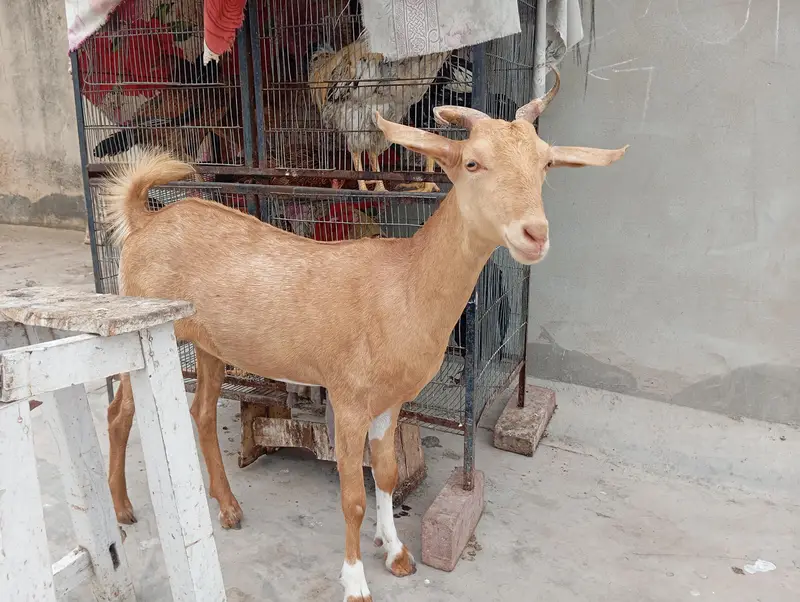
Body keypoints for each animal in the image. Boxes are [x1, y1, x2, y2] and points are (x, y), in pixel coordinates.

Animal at [104, 68, 627, 601]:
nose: (534, 234)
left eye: (545, 163)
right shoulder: (349, 399)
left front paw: (396, 552)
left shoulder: (391, 402)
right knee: (118, 412)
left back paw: (229, 508)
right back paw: (122, 510)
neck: (404, 287)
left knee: (202, 412)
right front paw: (354, 580)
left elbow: (389, 476)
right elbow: (353, 495)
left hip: (210, 344)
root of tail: (144, 219)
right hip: (143, 330)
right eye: (473, 161)